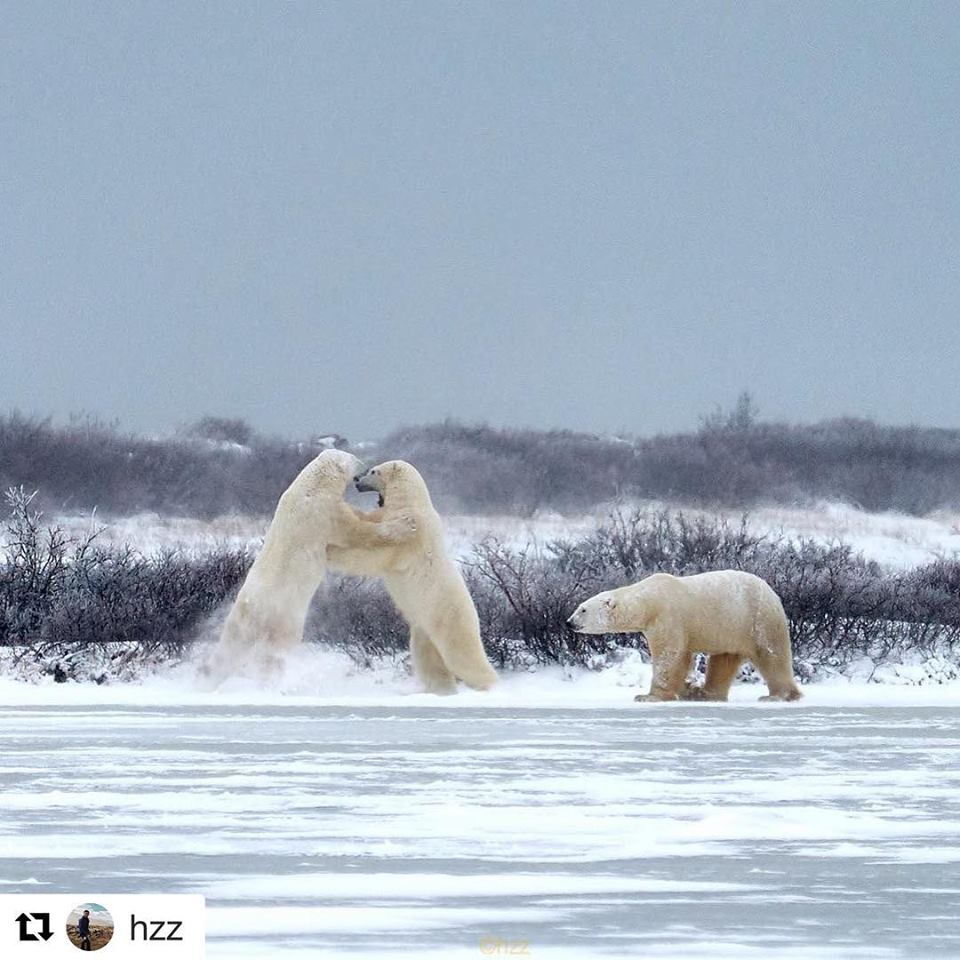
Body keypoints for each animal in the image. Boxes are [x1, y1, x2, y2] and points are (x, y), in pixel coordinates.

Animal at [204, 449, 417, 683]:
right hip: (285, 617)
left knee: (230, 646)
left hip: (238, 617)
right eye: (355, 459)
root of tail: (255, 609)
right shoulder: (325, 510)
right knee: (276, 649)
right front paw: (400, 524)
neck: (312, 485)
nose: (364, 468)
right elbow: (356, 530)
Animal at [326, 460, 498, 695]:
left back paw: (488, 685)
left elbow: (375, 550)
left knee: (463, 654)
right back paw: (438, 690)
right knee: (429, 657)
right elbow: (369, 521)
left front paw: (330, 550)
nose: (357, 480)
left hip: (448, 616)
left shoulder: (410, 530)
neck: (411, 501)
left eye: (373, 471)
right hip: (423, 627)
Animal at [567, 570, 802, 703]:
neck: (648, 600)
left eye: (583, 610)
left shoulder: (667, 617)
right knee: (723, 660)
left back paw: (778, 696)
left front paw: (648, 696)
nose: (569, 622)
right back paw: (703, 694)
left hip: (757, 620)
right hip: (730, 629)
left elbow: (669, 656)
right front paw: (685, 687)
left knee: (772, 655)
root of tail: (773, 594)